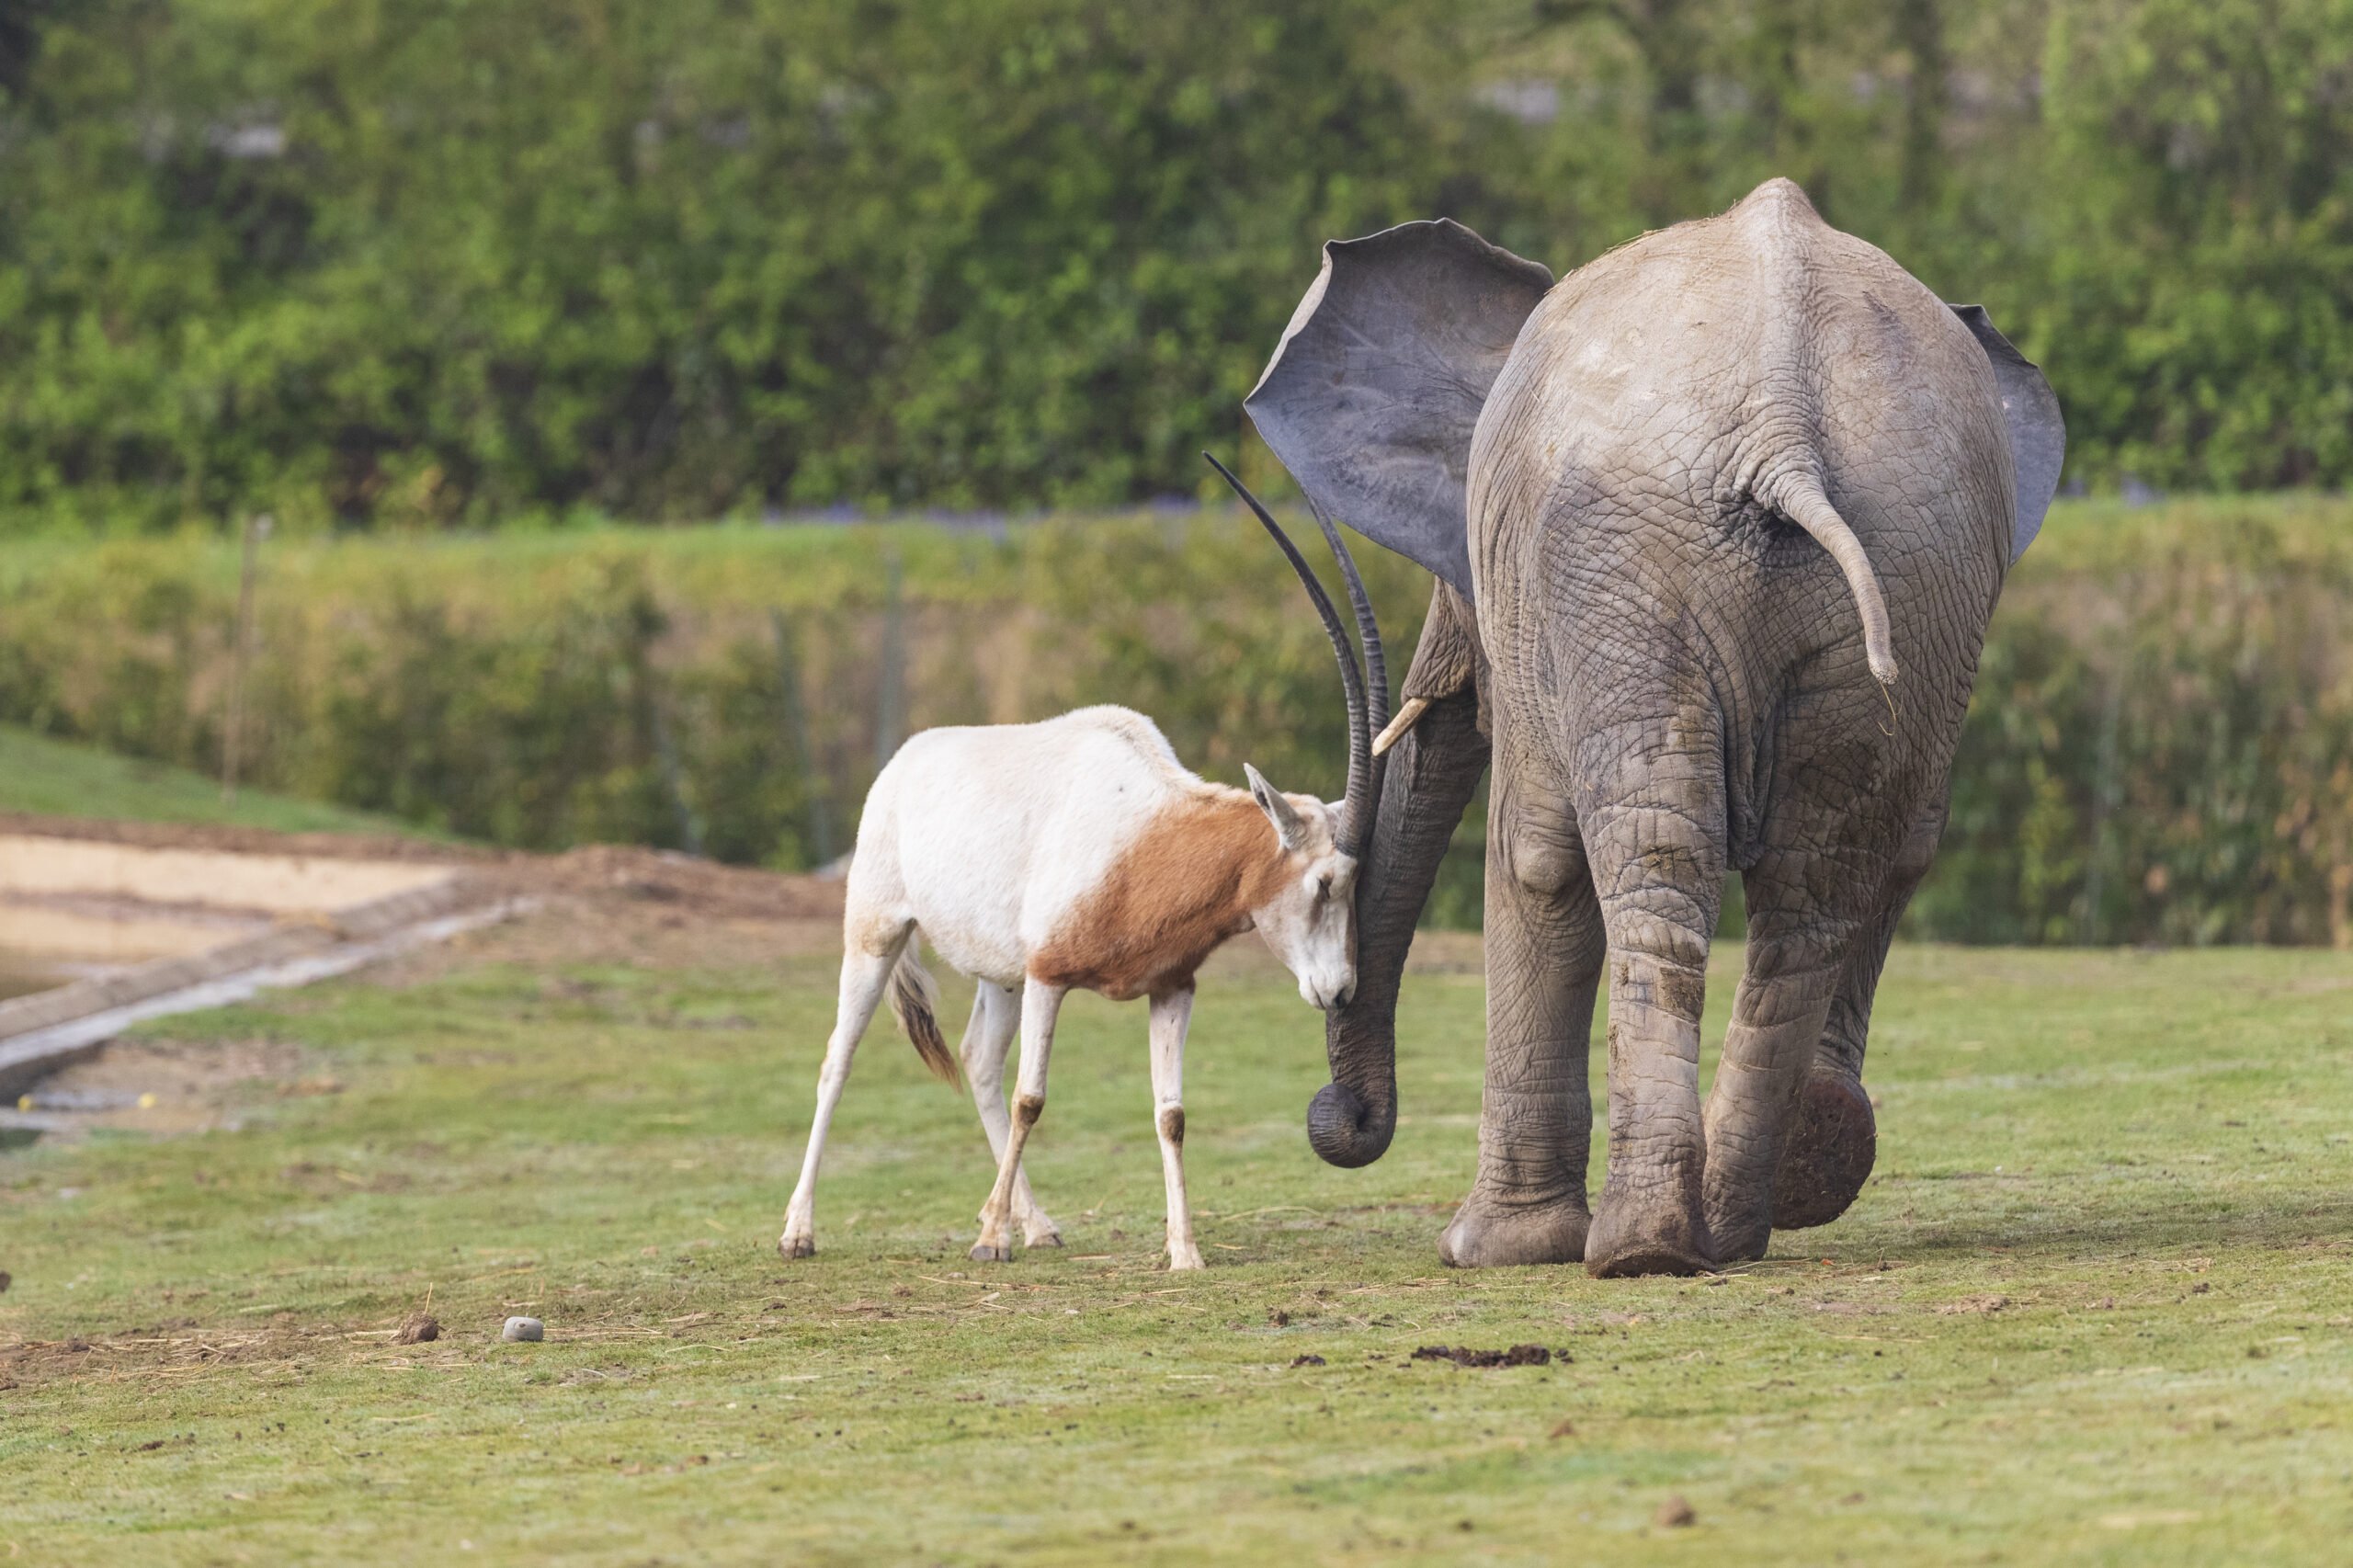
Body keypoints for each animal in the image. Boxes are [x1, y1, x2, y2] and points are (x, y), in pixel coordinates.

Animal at [1251, 176, 2061, 1271]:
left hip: (1626, 560)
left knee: (1643, 847)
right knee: (1816, 878)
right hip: (1913, 556)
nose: (1339, 1116)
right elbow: (1903, 852)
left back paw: (1641, 1245)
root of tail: (1781, 420)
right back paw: (1733, 1223)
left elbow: (1535, 856)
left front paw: (1490, 1249)